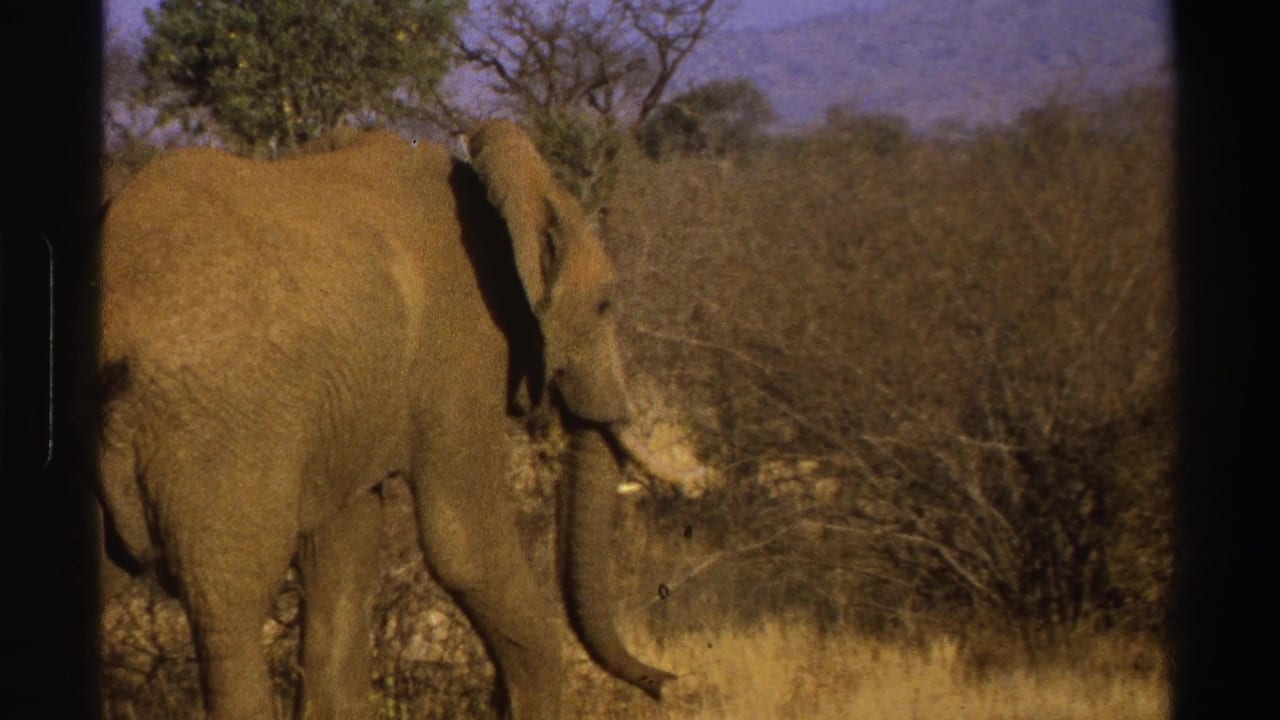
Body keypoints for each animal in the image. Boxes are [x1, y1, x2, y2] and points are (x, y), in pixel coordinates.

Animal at [96, 119, 674, 719]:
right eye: (606, 304)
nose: (664, 683)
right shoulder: (461, 345)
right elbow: (464, 548)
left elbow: (342, 548)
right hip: (216, 428)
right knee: (232, 604)